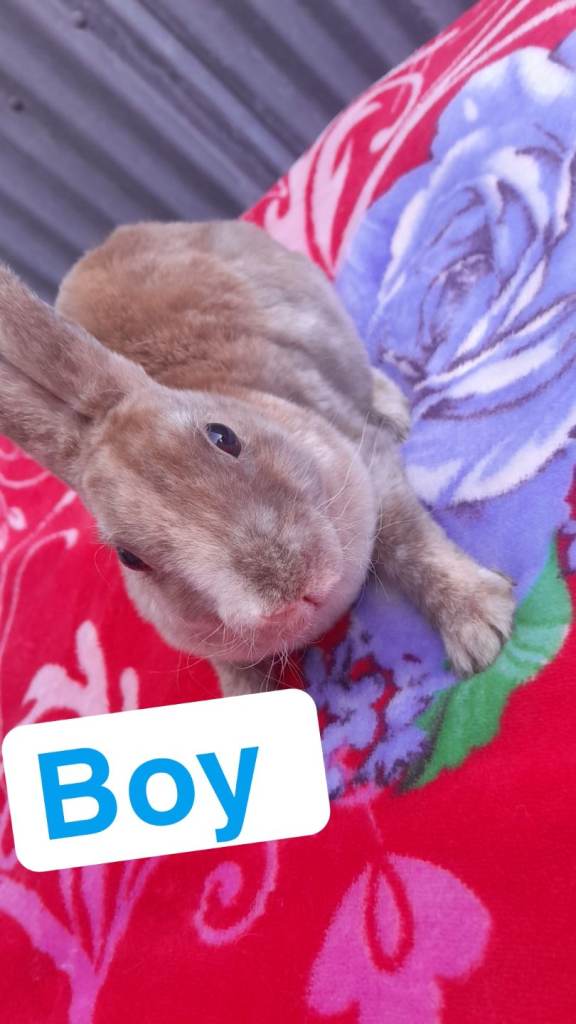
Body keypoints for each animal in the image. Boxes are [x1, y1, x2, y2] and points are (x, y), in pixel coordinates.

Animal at [0, 220, 515, 696]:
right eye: (130, 558)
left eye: (223, 436)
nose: (290, 588)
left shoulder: (370, 462)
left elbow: (412, 544)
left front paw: (482, 626)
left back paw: (392, 408)